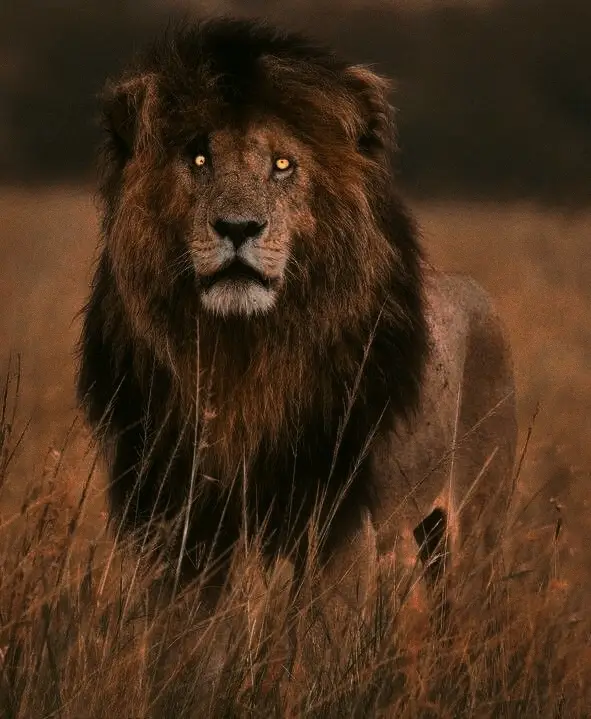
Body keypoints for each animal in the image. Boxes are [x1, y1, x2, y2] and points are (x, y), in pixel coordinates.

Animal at [77, 18, 517, 631]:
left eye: (282, 165)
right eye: (198, 159)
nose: (239, 227)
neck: (241, 352)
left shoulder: (340, 520)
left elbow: (320, 635)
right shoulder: (184, 521)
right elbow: (183, 637)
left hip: (476, 530)